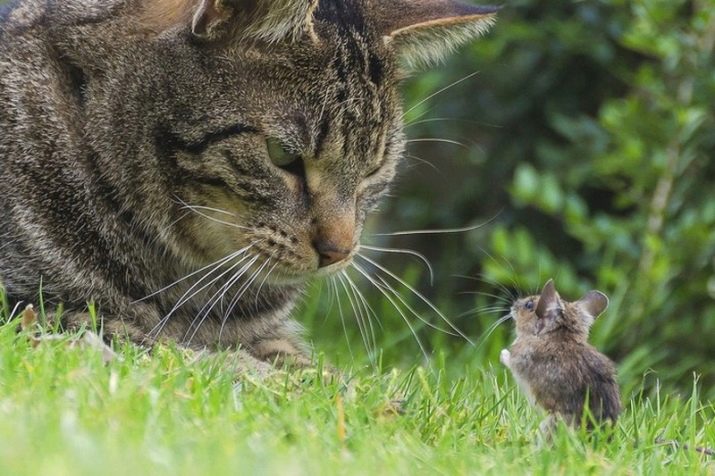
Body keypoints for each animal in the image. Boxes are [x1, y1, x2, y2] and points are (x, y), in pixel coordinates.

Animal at [0, 0, 498, 372]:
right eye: (283, 156)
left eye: (374, 170)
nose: (339, 252)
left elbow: (315, 370)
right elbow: (168, 349)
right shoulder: (34, 308)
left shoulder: (268, 335)